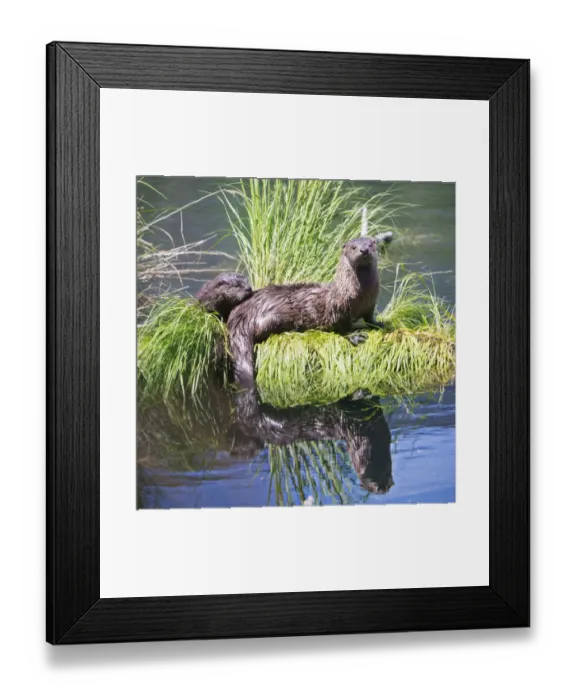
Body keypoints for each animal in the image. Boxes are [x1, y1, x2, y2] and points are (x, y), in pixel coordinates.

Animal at [227, 237, 383, 388]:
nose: (364, 250)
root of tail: (242, 312)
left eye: (371, 244)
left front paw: (378, 323)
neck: (361, 296)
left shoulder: (371, 303)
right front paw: (355, 336)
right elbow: (343, 328)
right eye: (354, 247)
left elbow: (369, 317)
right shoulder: (339, 309)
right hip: (271, 318)